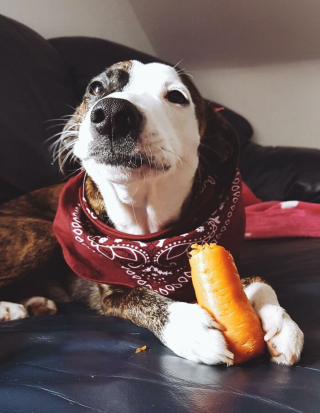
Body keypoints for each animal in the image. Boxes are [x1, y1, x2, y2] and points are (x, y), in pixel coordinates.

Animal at [0, 58, 302, 364]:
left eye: (177, 97)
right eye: (96, 87)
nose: (112, 114)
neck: (145, 220)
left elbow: (258, 280)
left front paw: (282, 323)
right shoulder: (110, 294)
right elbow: (141, 295)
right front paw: (189, 328)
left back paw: (34, 303)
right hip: (43, 233)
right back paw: (9, 309)